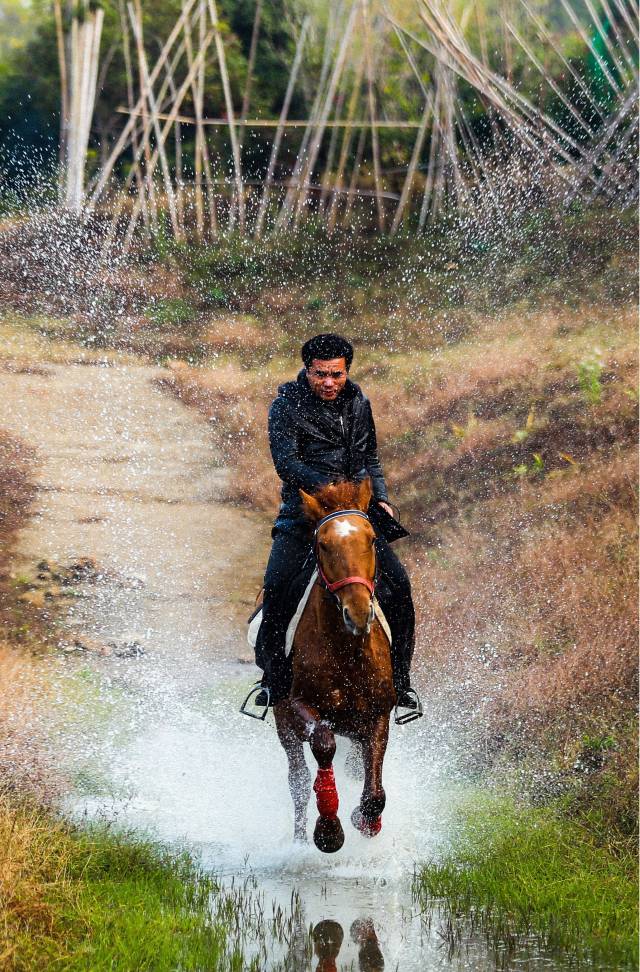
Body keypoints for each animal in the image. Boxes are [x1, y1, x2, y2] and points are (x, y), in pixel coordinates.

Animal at [274, 476, 398, 852]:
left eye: (371, 539)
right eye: (323, 545)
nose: (357, 613)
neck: (346, 651)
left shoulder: (378, 715)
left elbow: (375, 792)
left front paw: (365, 819)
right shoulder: (300, 704)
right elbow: (323, 743)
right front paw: (329, 832)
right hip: (283, 725)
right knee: (298, 781)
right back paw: (300, 841)